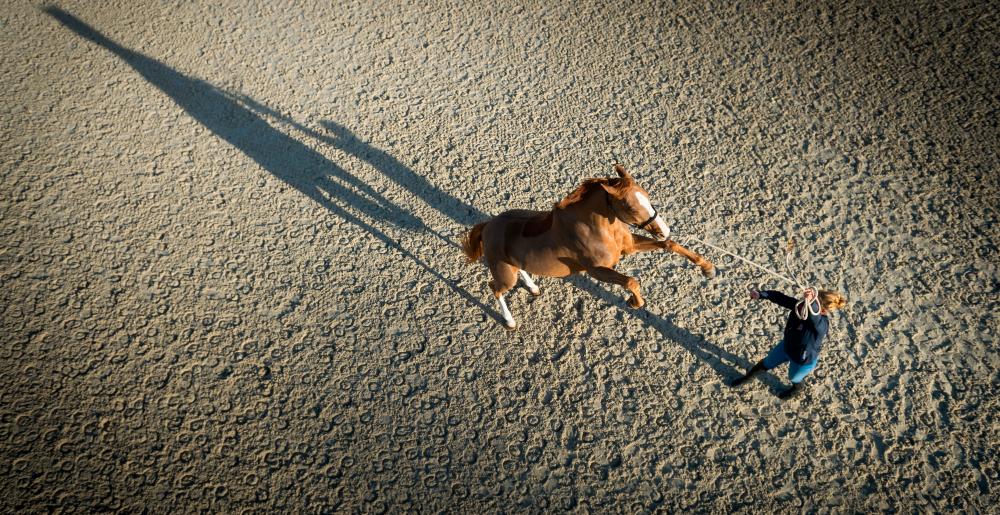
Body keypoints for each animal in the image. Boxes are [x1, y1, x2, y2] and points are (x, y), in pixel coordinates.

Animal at [464, 164, 716, 330]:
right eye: (630, 207)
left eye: (647, 195)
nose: (664, 228)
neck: (598, 227)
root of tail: (488, 226)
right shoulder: (597, 270)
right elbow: (631, 281)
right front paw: (634, 303)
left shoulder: (629, 247)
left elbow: (669, 245)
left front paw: (707, 268)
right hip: (504, 274)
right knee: (495, 288)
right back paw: (510, 321)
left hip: (513, 264)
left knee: (521, 271)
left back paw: (533, 288)